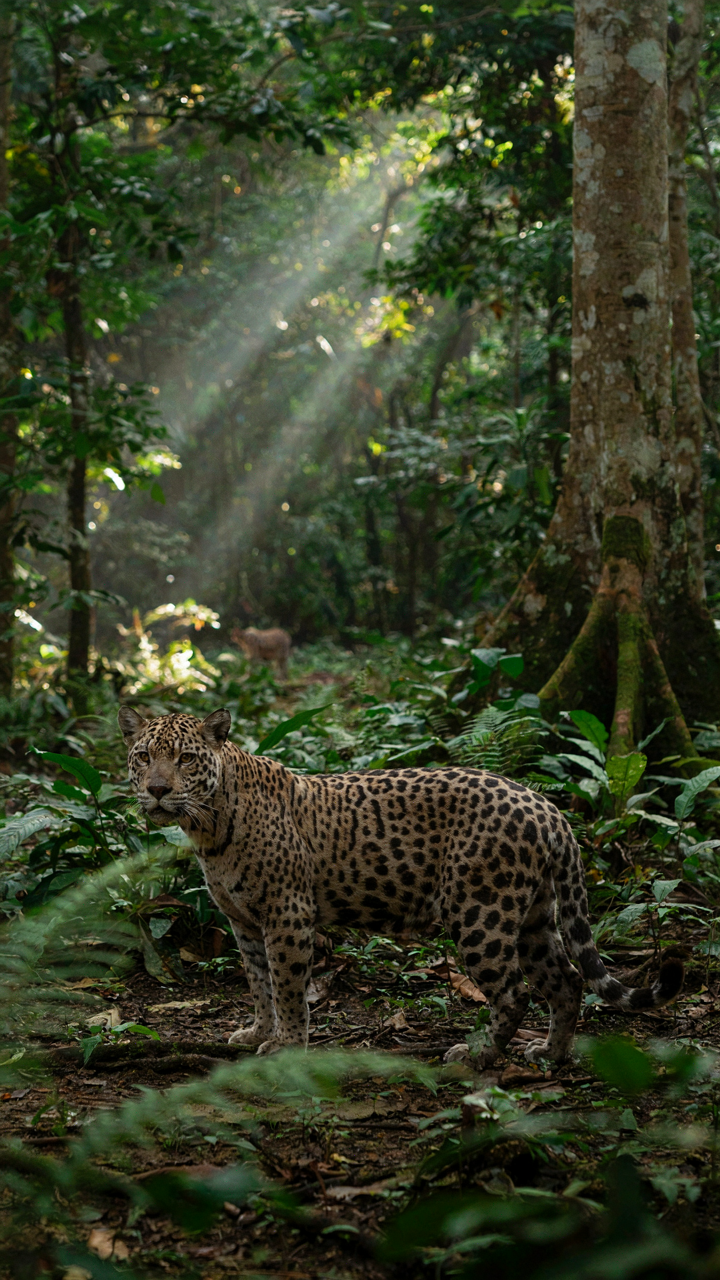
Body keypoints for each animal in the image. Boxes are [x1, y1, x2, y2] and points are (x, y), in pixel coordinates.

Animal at [119, 705, 683, 1064]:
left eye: (186, 759)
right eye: (143, 757)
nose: (158, 790)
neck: (208, 826)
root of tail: (547, 807)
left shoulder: (288, 914)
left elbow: (288, 986)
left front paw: (288, 1044)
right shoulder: (244, 922)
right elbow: (258, 983)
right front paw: (257, 1030)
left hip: (481, 913)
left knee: (515, 993)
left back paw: (477, 1055)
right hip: (534, 918)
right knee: (566, 981)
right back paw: (552, 1054)